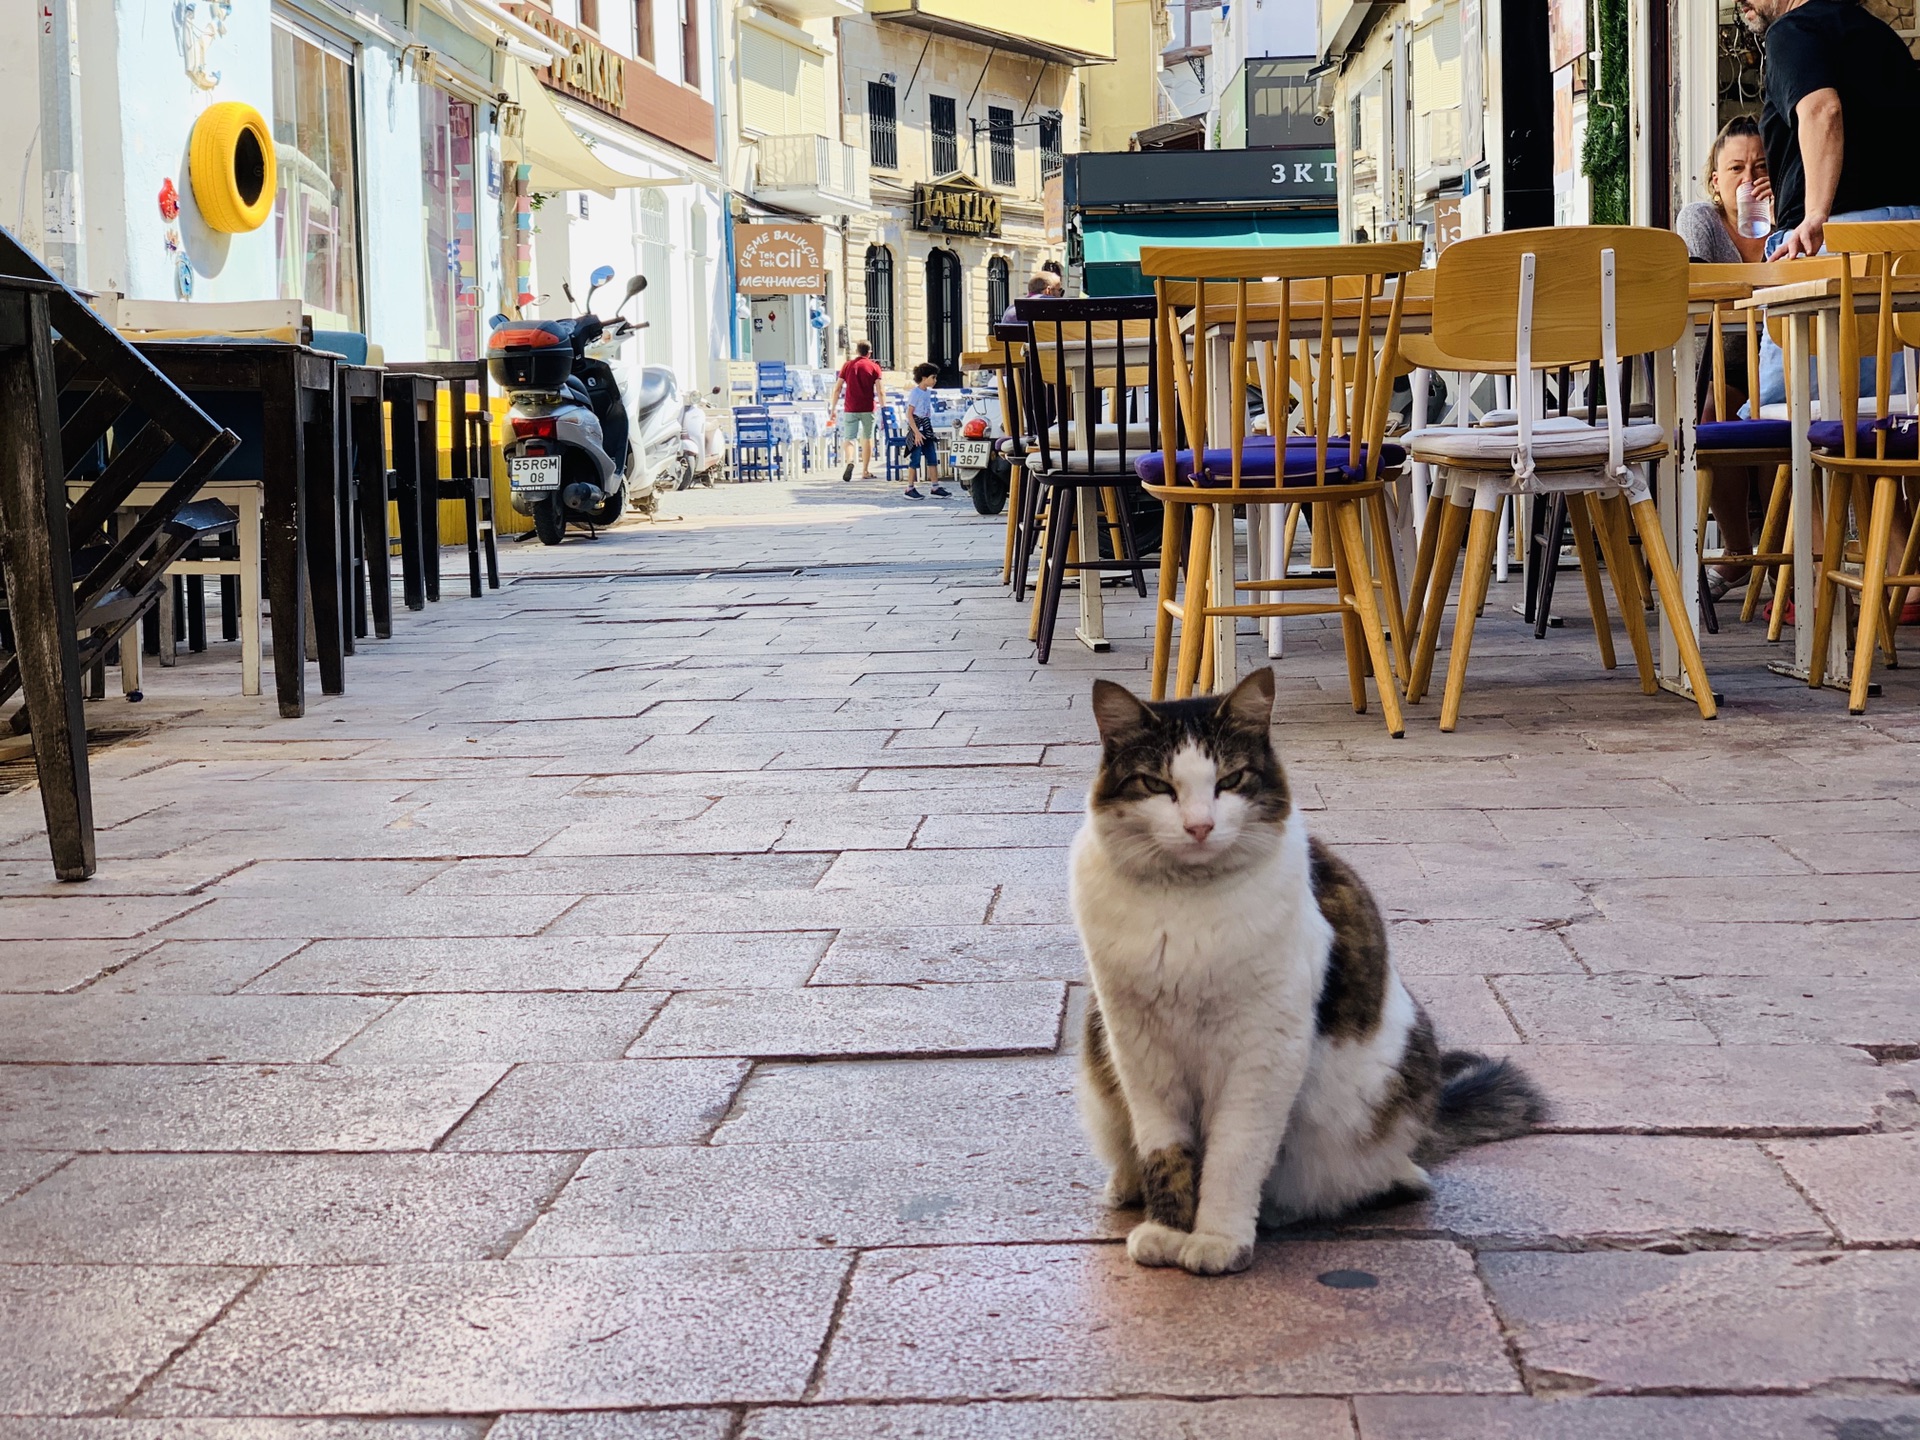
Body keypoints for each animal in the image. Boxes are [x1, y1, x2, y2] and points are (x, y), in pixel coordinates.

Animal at [1075, 672, 1551, 1282]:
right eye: (1158, 785)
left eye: (1230, 780)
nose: (1200, 826)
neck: (1184, 909)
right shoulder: (1139, 1049)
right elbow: (1166, 1152)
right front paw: (1168, 1229)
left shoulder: (1263, 1052)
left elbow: (1233, 1156)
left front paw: (1218, 1239)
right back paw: (1127, 1185)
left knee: (1384, 1178)